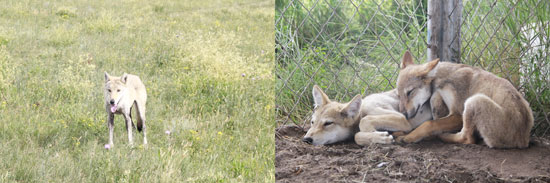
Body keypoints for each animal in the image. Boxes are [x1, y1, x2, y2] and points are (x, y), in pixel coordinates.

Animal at [302, 84, 444, 146]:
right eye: (312, 122)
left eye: (328, 123)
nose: (306, 139)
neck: (362, 110)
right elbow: (357, 136)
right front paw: (377, 136)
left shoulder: (401, 119)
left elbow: (363, 124)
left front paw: (376, 135)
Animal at [396, 50, 536, 148]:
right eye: (398, 95)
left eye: (409, 92)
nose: (403, 114)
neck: (443, 78)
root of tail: (523, 141)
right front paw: (403, 133)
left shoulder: (458, 114)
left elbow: (429, 124)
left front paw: (409, 137)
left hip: (473, 101)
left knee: (467, 138)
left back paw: (443, 136)